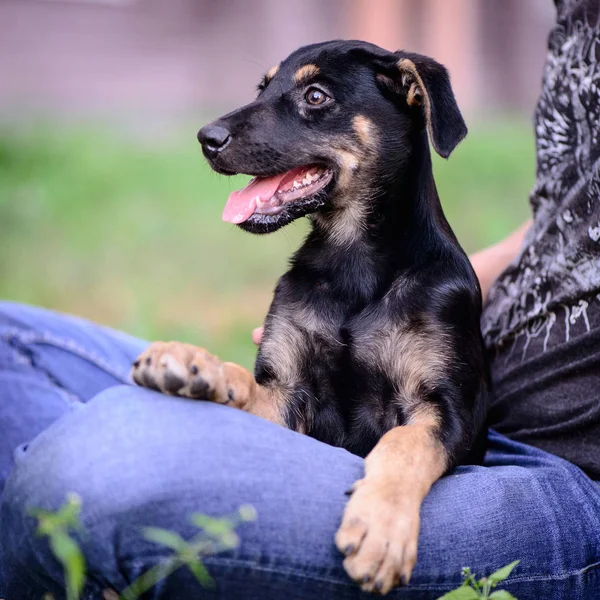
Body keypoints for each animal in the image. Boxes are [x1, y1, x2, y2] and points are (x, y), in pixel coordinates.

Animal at [131, 41, 488, 596]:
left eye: (315, 96)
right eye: (263, 88)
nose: (206, 139)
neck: (353, 262)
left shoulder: (446, 410)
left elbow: (403, 445)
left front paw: (381, 529)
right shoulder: (289, 396)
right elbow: (246, 384)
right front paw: (193, 364)